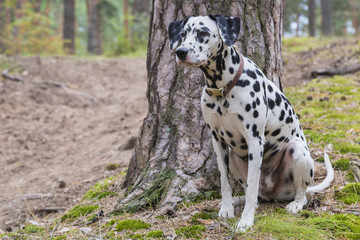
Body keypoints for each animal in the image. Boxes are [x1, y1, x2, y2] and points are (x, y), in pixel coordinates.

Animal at [167, 15, 334, 232]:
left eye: (203, 33)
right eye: (183, 33)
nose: (181, 52)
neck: (222, 89)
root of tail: (273, 193)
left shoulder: (255, 140)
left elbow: (252, 185)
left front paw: (246, 220)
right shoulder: (218, 140)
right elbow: (224, 181)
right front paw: (227, 208)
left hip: (298, 151)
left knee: (300, 194)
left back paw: (295, 203)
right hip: (234, 156)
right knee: (253, 194)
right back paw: (238, 201)